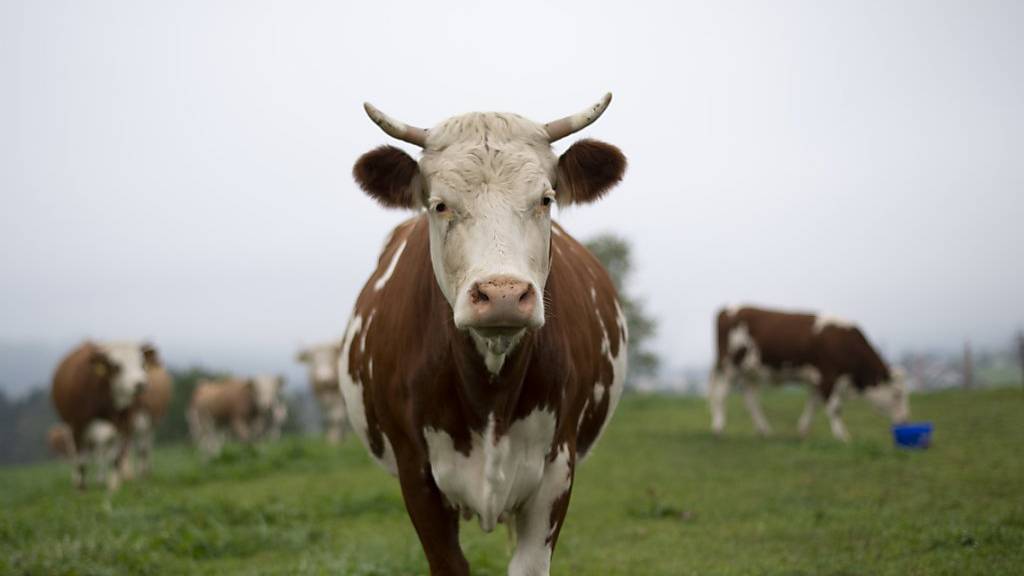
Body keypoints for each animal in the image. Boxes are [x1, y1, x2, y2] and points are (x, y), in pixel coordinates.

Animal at [50, 340, 159, 487]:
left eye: (142, 363)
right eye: (117, 366)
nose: (140, 384)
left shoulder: (123, 424)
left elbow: (115, 458)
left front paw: (114, 486)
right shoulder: (78, 424)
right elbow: (81, 460)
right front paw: (81, 488)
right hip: (71, 428)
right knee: (78, 455)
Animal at [339, 95, 626, 573]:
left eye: (545, 199)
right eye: (439, 205)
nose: (503, 294)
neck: (490, 390)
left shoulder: (556, 471)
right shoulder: (416, 474)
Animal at [708, 305, 909, 438]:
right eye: (897, 394)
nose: (905, 420)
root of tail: (729, 308)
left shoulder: (816, 380)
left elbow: (813, 405)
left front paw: (803, 430)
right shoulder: (828, 376)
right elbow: (835, 407)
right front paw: (842, 436)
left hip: (750, 372)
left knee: (751, 400)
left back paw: (764, 430)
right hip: (729, 366)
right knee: (721, 394)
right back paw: (719, 426)